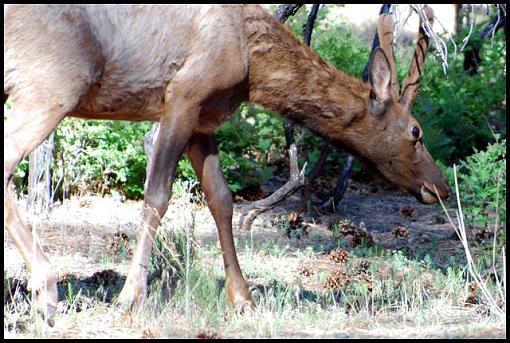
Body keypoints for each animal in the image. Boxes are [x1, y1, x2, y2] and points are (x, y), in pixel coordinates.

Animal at [4, 4, 450, 324]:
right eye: (415, 131)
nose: (440, 186)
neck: (254, 65)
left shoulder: (204, 120)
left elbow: (222, 199)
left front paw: (243, 298)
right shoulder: (182, 95)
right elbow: (158, 195)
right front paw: (130, 297)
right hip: (51, 84)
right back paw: (46, 289)